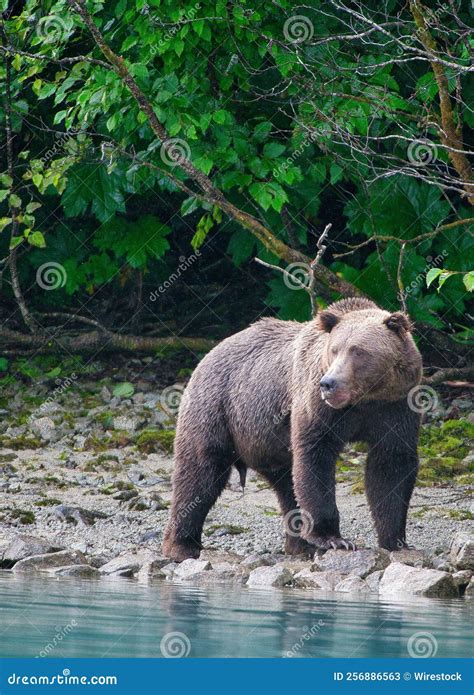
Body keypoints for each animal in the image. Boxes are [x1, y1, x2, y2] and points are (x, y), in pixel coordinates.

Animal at [163, 296, 422, 564]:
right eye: (334, 349)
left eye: (358, 350)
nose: (329, 383)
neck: (364, 400)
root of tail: (210, 353)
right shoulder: (317, 407)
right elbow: (315, 458)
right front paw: (333, 538)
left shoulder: (395, 407)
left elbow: (390, 466)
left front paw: (395, 540)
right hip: (217, 409)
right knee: (200, 473)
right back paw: (182, 545)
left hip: (267, 442)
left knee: (287, 485)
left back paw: (299, 545)